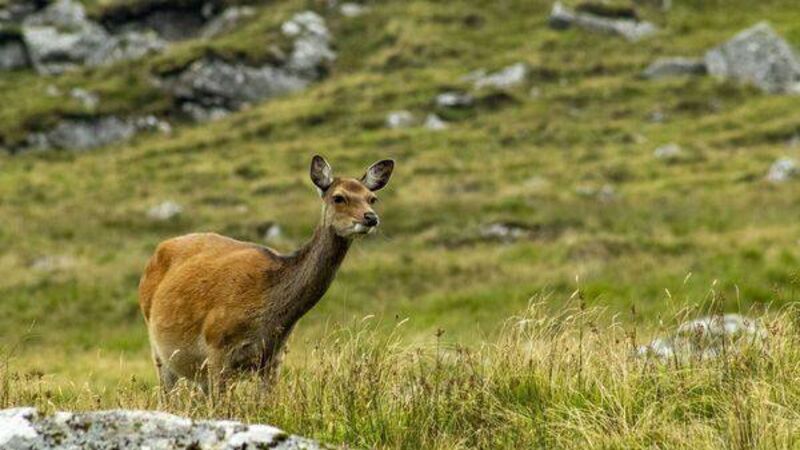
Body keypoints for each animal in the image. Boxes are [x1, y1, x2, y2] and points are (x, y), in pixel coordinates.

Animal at [138, 155, 394, 392]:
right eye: (338, 197)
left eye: (372, 198)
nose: (371, 217)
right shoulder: (216, 347)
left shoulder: (274, 358)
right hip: (160, 350)